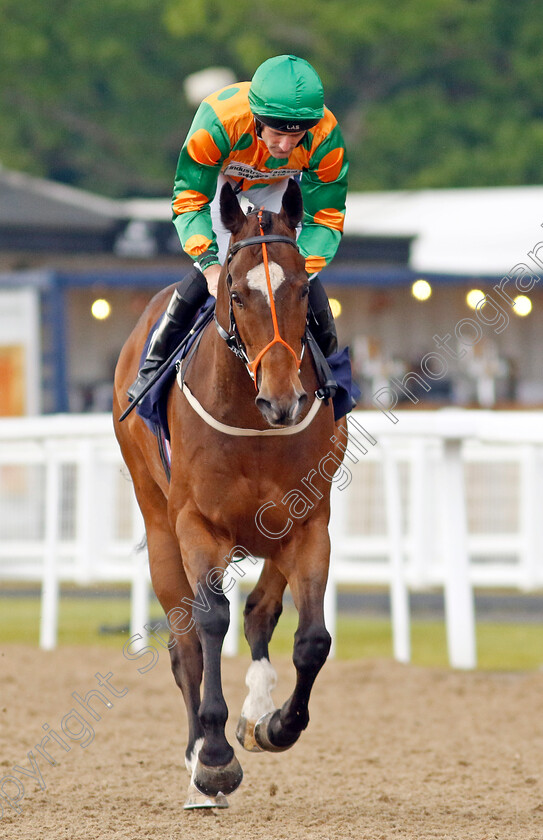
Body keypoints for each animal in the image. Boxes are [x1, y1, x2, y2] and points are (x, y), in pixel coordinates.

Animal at [112, 177, 344, 808]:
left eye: (302, 291)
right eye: (237, 295)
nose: (283, 399)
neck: (251, 422)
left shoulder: (308, 523)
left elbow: (311, 639)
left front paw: (276, 724)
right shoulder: (198, 525)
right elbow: (211, 621)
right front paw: (215, 758)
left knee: (262, 610)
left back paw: (258, 706)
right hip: (158, 523)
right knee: (187, 645)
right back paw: (199, 761)